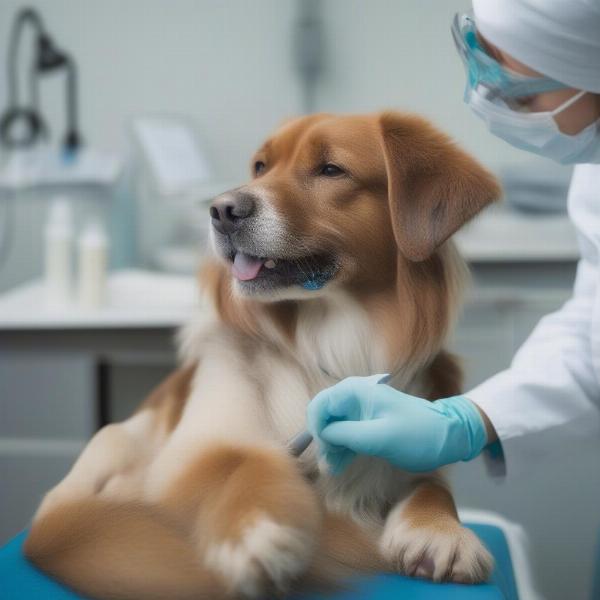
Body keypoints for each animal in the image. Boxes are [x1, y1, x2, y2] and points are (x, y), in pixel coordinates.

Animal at [24, 110, 502, 596]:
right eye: (260, 167)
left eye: (331, 169)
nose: (221, 210)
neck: (336, 345)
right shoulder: (193, 453)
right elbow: (246, 461)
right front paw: (254, 530)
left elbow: (431, 487)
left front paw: (439, 532)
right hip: (114, 439)